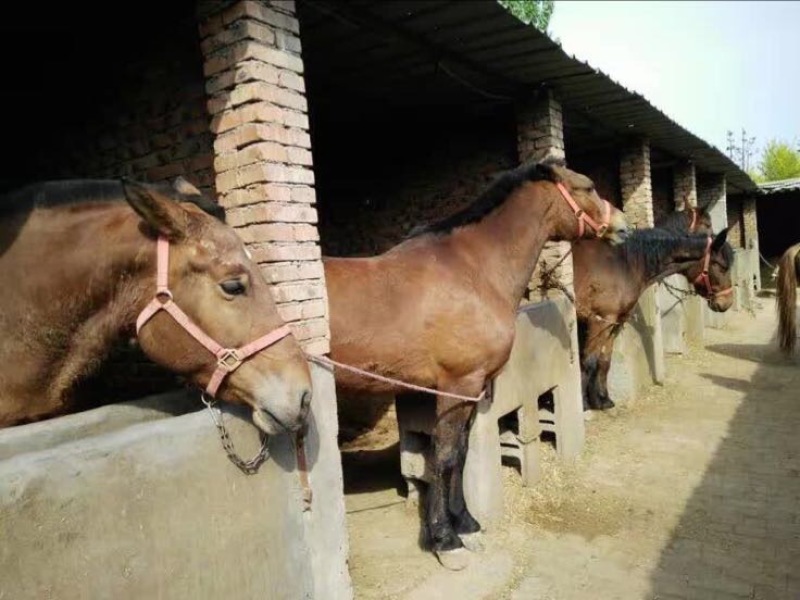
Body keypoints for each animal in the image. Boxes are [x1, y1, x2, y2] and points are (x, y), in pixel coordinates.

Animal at [322, 158, 631, 569]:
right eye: (587, 186)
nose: (624, 226)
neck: (473, 270)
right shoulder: (458, 385)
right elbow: (445, 456)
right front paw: (444, 540)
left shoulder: (473, 390)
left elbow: (462, 454)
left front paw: (467, 523)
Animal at [573, 226, 734, 411]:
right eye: (722, 267)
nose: (727, 303)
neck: (622, 264)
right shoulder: (599, 321)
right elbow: (589, 361)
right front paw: (585, 403)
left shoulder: (615, 322)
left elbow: (604, 360)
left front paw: (603, 400)